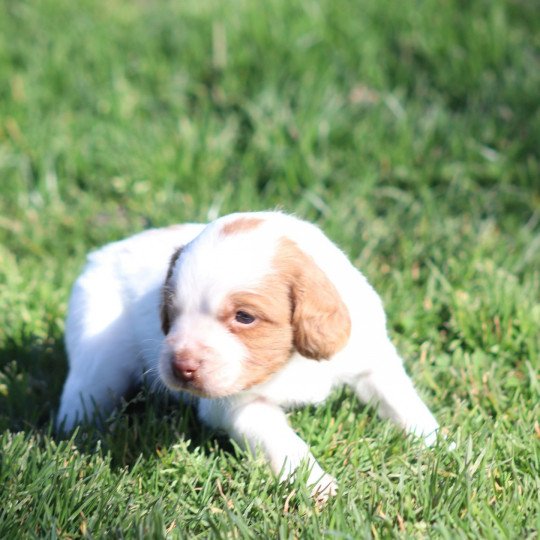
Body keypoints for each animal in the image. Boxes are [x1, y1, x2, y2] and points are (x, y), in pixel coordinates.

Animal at [58, 211, 438, 502]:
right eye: (172, 311)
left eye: (244, 317)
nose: (181, 367)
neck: (291, 361)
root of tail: (101, 253)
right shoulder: (237, 405)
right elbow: (283, 441)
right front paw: (317, 485)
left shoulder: (372, 359)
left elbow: (403, 402)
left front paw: (438, 446)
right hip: (98, 358)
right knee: (81, 396)